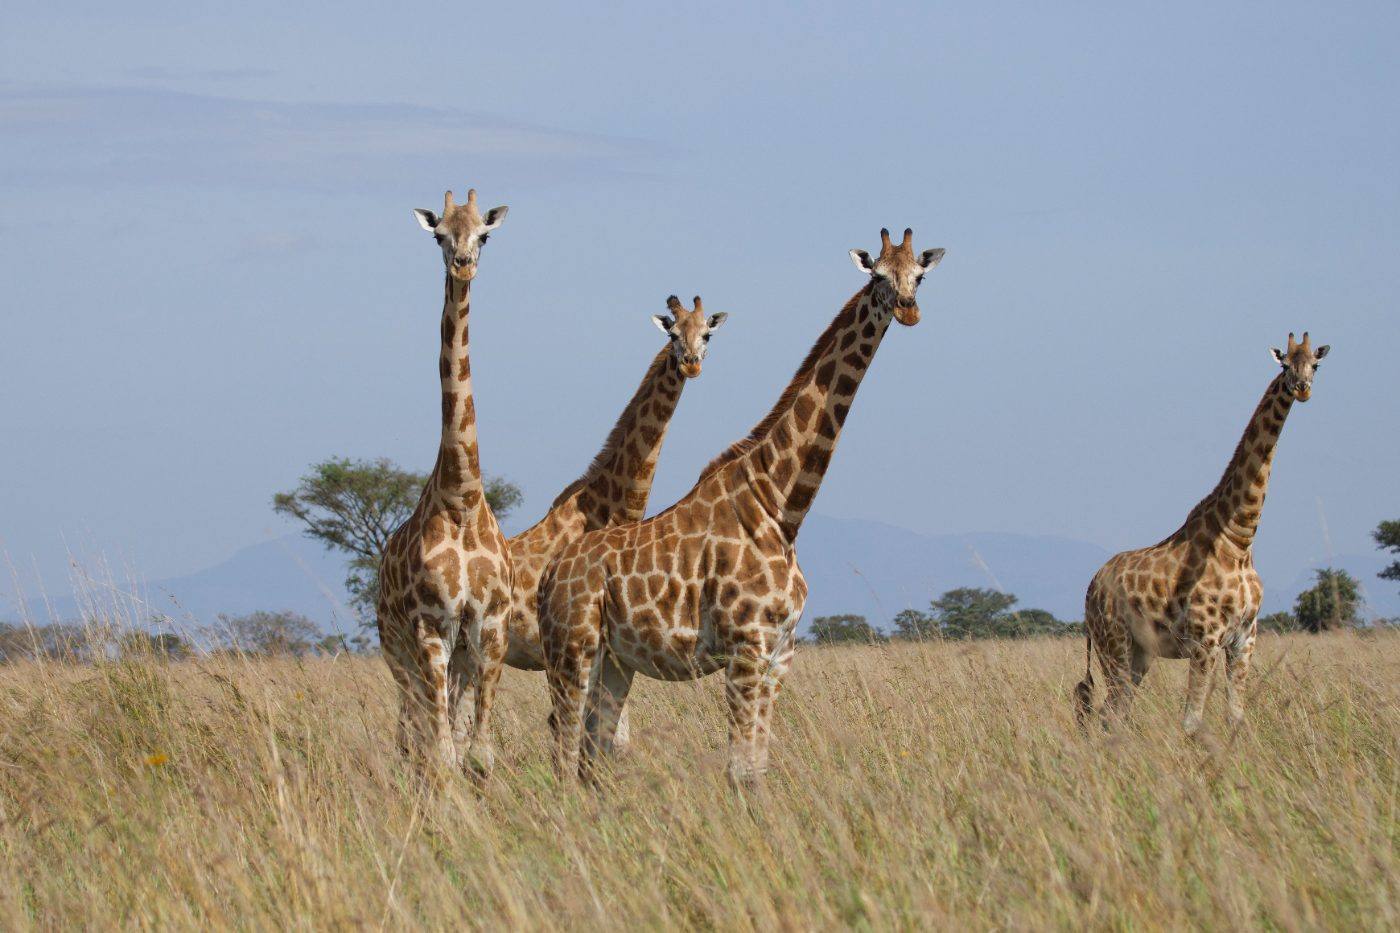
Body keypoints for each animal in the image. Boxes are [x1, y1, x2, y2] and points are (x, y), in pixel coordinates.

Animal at [538, 228, 944, 790]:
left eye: (919, 276)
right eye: (879, 276)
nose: (908, 310)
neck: (782, 506)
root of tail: (551, 574)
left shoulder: (780, 653)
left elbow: (757, 766)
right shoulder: (746, 647)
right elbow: (740, 770)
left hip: (615, 660)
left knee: (591, 752)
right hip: (571, 650)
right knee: (561, 747)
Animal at [1075, 332, 1330, 736]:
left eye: (1315, 365)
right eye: (1285, 365)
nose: (1302, 389)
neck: (1239, 539)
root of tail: (1090, 590)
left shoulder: (1245, 637)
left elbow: (1235, 718)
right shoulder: (1205, 638)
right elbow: (1192, 721)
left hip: (1138, 653)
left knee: (1113, 714)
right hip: (1113, 644)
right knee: (1110, 713)